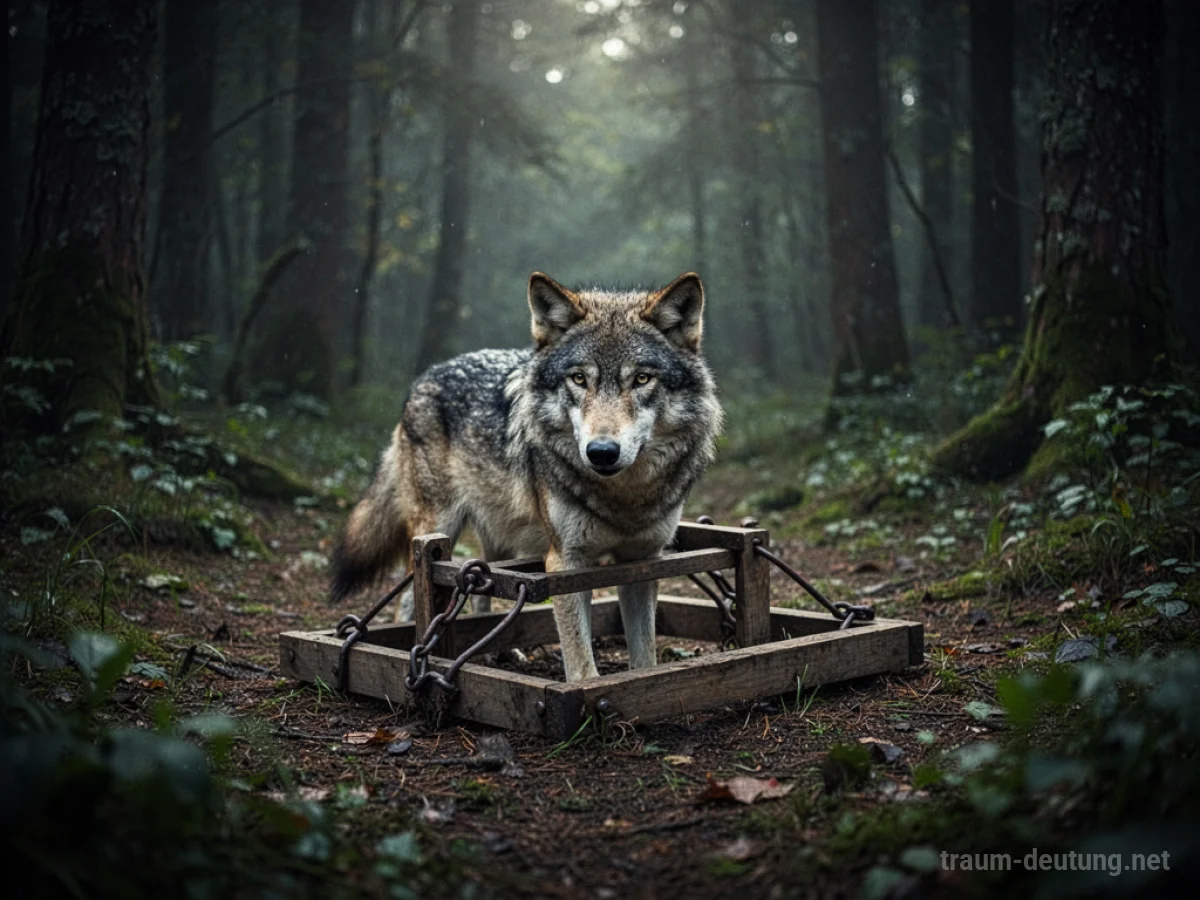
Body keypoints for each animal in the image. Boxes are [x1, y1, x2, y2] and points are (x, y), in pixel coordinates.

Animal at [329, 272, 723, 682]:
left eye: (642, 379)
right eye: (578, 379)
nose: (601, 452)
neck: (624, 498)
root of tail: (425, 377)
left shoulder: (643, 560)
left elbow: (645, 658)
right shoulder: (565, 562)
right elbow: (582, 665)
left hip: (499, 538)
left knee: (478, 589)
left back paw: (502, 652)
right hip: (437, 528)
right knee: (410, 598)